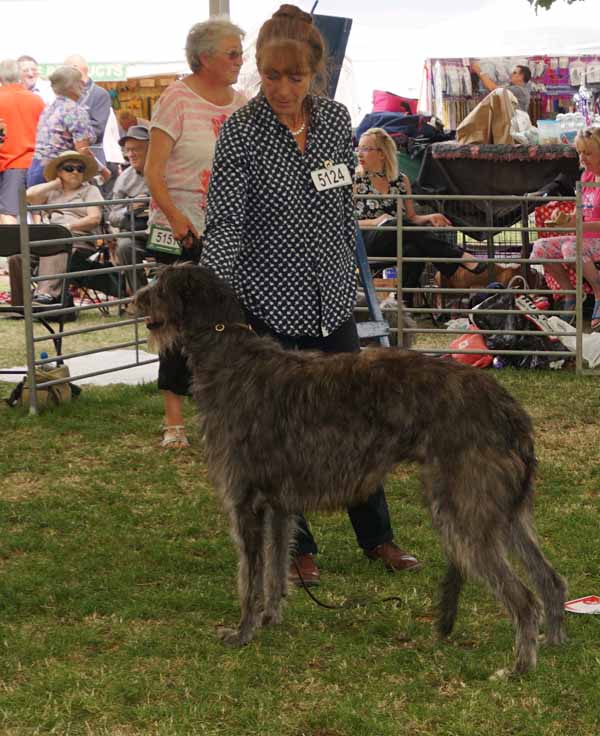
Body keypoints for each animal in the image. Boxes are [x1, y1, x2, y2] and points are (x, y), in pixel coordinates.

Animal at [135, 268, 568, 676]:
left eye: (161, 286)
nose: (135, 299)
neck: (229, 357)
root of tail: (507, 408)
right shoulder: (278, 506)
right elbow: (275, 570)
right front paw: (270, 618)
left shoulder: (245, 503)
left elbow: (250, 577)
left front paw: (243, 632)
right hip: (502, 508)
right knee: (550, 578)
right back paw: (552, 643)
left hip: (464, 507)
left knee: (523, 598)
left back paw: (519, 666)